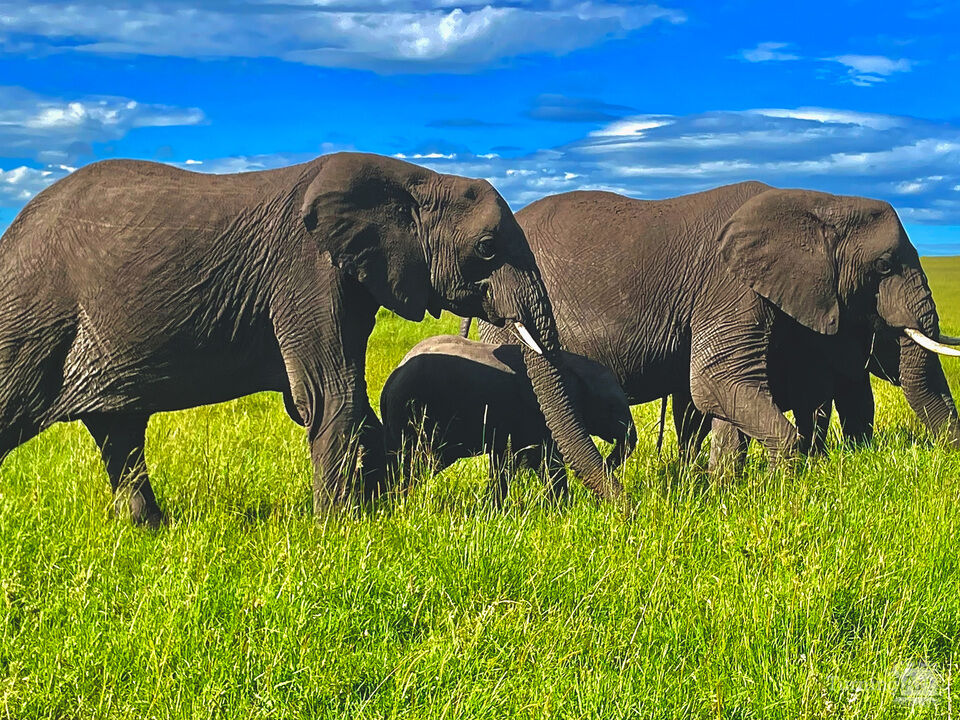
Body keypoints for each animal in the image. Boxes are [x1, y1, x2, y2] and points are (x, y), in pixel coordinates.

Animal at [380, 335, 637, 503]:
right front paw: (561, 509)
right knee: (414, 463)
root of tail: (389, 385)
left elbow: (513, 460)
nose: (609, 463)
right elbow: (544, 460)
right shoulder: (531, 413)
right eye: (612, 407)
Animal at [476, 183, 960, 465]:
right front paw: (784, 488)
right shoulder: (727, 285)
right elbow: (716, 381)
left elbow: (718, 393)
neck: (817, 202)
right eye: (884, 266)